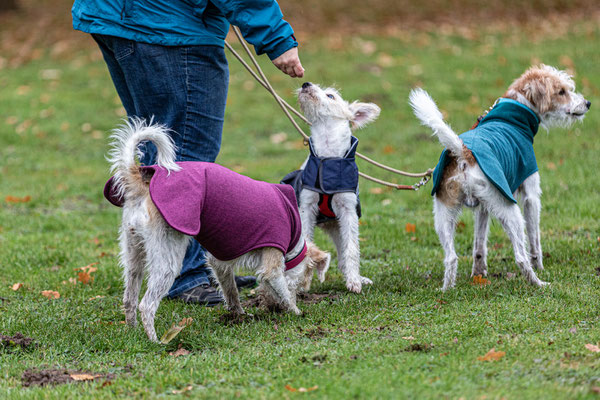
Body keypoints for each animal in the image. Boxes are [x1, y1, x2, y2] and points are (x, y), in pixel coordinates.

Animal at [292, 82, 382, 294]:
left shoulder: (348, 211)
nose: (306, 84)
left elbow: (352, 248)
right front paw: (303, 279)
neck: (328, 157)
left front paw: (354, 282)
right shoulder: (306, 208)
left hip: (337, 227)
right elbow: (306, 243)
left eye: (330, 96)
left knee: (342, 256)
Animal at [408, 65, 592, 290]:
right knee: (520, 256)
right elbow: (535, 240)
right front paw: (539, 266)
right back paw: (539, 283)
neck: (515, 111)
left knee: (451, 257)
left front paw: (478, 273)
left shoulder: (483, 207)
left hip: (444, 215)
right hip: (510, 211)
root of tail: (464, 152)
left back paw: (446, 290)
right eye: (562, 91)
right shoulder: (531, 196)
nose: (587, 103)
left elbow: (479, 245)